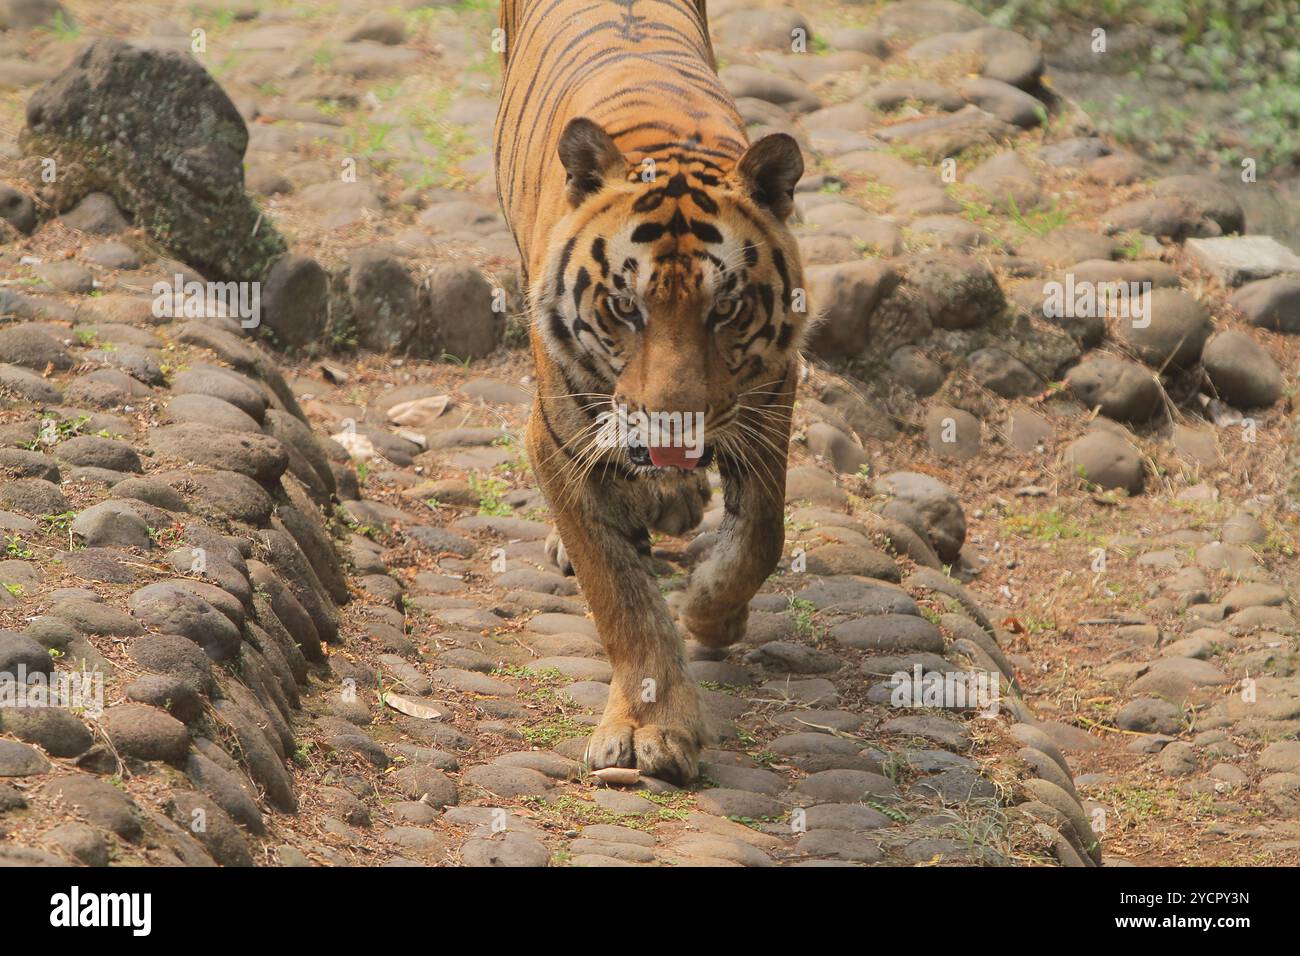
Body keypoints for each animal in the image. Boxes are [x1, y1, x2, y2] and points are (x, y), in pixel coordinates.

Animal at [493, 0, 806, 785]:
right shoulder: (560, 441)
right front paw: (648, 727)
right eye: (624, 307)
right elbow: (620, 597)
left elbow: (762, 535)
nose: (674, 427)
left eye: (725, 309)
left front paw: (711, 614)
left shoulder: (769, 401)